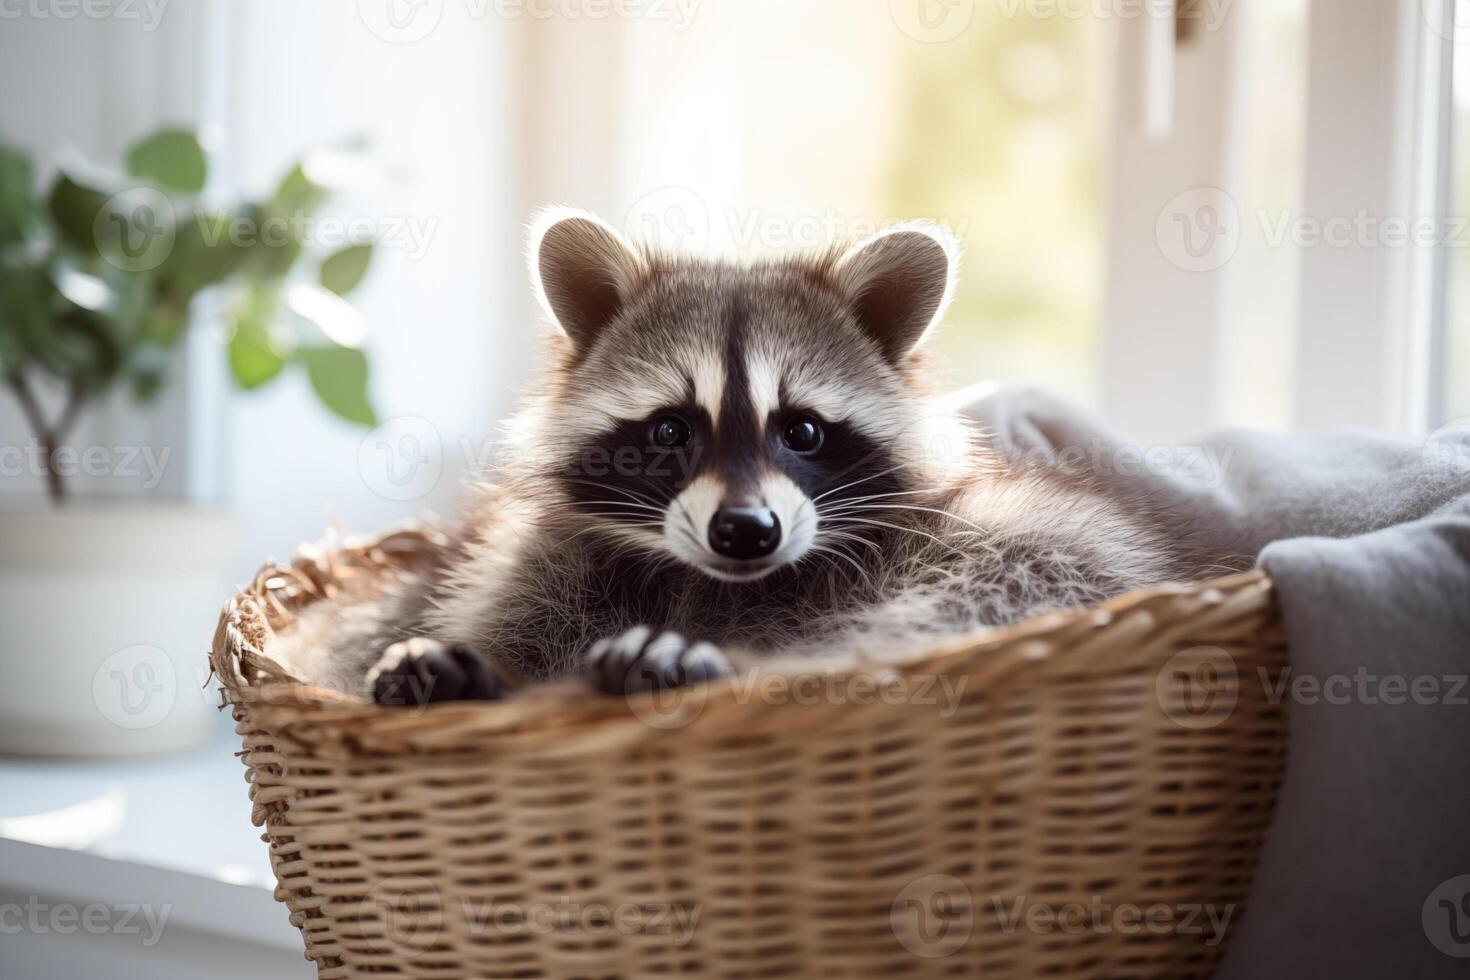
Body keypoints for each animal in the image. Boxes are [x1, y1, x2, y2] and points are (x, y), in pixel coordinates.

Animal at [295, 208, 1193, 705]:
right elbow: (516, 625)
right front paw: (488, 671)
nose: (745, 531)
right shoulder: (536, 561)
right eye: (670, 431)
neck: (715, 583)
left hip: (1038, 546)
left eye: (803, 432)